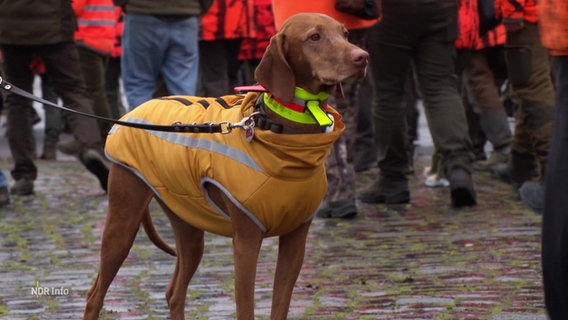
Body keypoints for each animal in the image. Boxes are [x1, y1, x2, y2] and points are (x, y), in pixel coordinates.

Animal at [83, 12, 368, 320]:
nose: (362, 57)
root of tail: (132, 112)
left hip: (188, 224)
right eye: (314, 37)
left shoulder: (296, 241)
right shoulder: (246, 241)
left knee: (174, 293)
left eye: (346, 34)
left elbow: (279, 305)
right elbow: (245, 308)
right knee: (95, 294)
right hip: (122, 222)